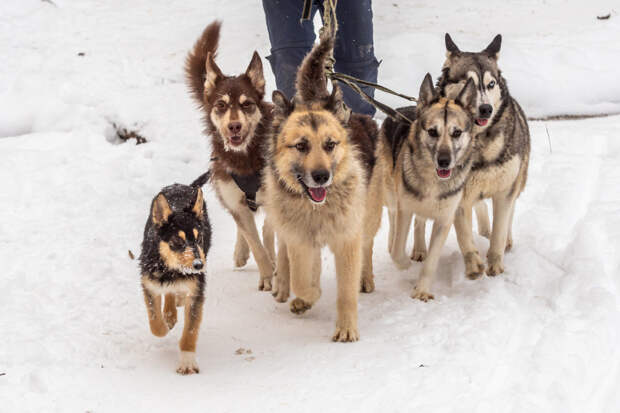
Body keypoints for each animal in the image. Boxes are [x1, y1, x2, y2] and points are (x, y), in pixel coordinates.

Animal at [139, 172, 212, 374]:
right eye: (178, 242)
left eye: (199, 238)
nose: (198, 265)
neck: (170, 268)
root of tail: (185, 186)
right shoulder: (150, 284)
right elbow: (155, 323)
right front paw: (164, 325)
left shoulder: (196, 292)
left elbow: (190, 331)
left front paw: (187, 362)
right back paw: (170, 314)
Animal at [182, 20, 274, 290]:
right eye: (221, 105)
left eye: (247, 104)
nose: (234, 126)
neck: (244, 158)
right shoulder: (234, 199)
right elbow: (256, 244)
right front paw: (268, 274)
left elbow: (268, 231)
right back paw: (242, 251)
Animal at [266, 27, 386, 340]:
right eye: (301, 146)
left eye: (330, 144)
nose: (321, 176)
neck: (317, 208)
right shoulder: (301, 240)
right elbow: (303, 280)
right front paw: (306, 296)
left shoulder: (347, 240)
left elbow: (345, 291)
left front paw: (346, 328)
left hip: (368, 215)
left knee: (367, 244)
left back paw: (365, 277)